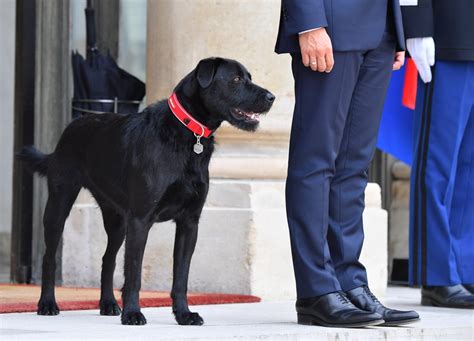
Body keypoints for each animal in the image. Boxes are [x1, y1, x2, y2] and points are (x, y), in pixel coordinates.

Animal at [19, 56, 274, 324]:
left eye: (249, 77)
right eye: (236, 79)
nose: (272, 97)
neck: (187, 132)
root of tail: (72, 126)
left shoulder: (189, 223)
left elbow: (181, 276)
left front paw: (184, 314)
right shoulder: (140, 220)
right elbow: (134, 273)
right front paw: (133, 313)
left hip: (117, 220)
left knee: (107, 259)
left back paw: (108, 303)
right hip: (59, 204)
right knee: (49, 257)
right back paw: (47, 303)